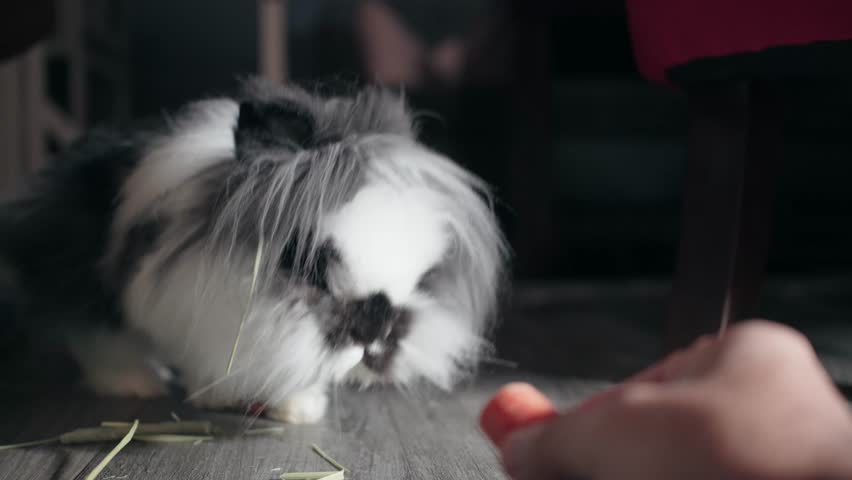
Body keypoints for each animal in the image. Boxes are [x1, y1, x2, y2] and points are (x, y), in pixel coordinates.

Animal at [0, 78, 508, 423]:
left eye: (424, 277)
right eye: (306, 264)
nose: (376, 332)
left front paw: (299, 409)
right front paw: (216, 397)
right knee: (95, 334)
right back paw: (135, 385)